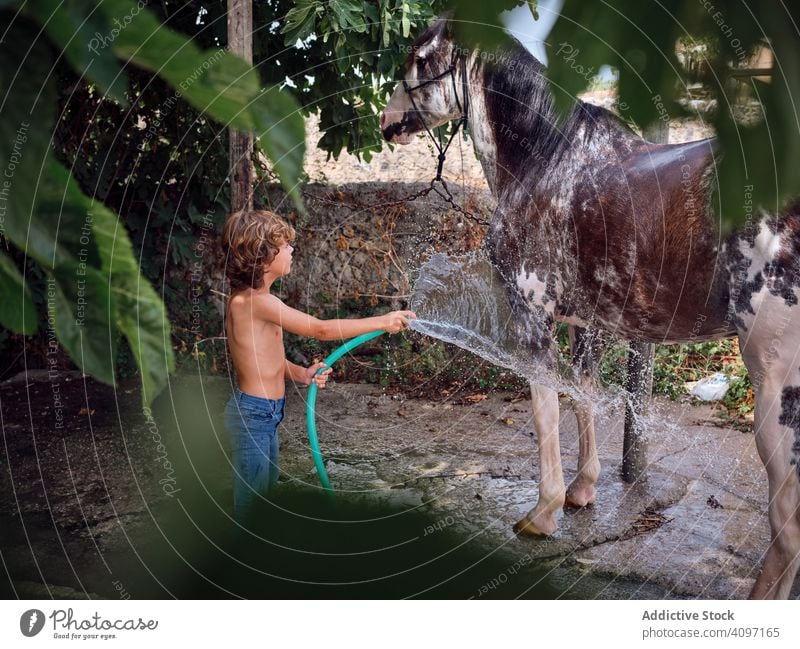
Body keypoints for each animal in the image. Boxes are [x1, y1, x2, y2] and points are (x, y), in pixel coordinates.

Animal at [380, 19, 800, 596]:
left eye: (421, 59)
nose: (387, 123)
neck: (547, 161)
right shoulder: (589, 325)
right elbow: (583, 396)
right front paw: (582, 491)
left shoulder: (533, 320)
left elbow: (546, 409)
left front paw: (544, 511)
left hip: (776, 395)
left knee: (787, 528)